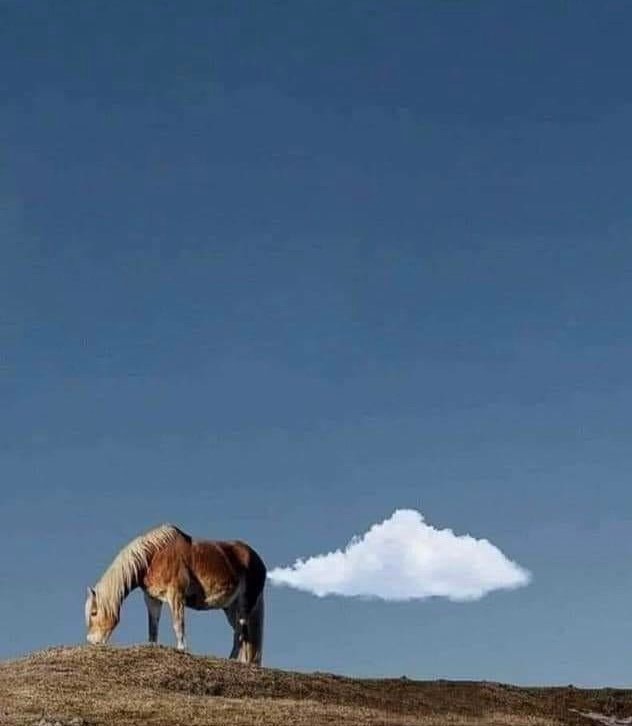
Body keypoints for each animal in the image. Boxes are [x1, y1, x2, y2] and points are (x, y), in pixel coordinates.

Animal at [84, 524, 266, 664]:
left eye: (94, 613)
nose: (92, 642)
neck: (153, 556)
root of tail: (258, 561)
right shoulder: (152, 599)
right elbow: (153, 627)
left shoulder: (176, 595)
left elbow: (178, 624)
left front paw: (182, 649)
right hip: (230, 608)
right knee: (241, 634)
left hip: (244, 605)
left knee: (241, 633)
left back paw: (233, 660)